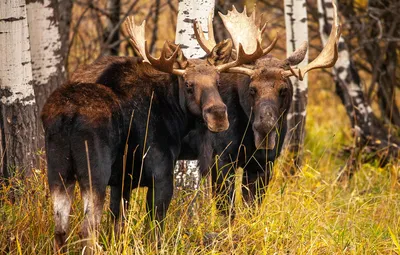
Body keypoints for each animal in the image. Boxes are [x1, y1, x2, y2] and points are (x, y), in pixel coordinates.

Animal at [180, 3, 340, 215]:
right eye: (252, 88)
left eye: (284, 89)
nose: (265, 127)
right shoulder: (222, 158)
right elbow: (227, 209)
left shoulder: (264, 163)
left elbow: (251, 208)